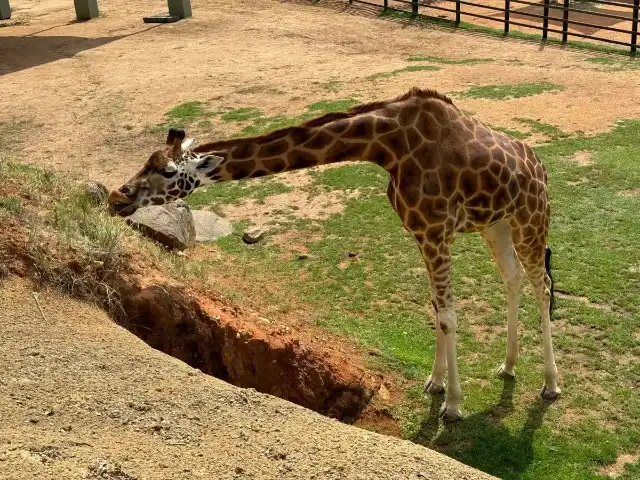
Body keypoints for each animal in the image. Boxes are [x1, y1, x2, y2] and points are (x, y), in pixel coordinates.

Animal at [109, 87, 561, 422]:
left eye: (168, 171)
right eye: (145, 161)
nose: (117, 197)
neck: (389, 147)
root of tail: (540, 166)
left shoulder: (435, 230)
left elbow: (449, 315)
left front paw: (453, 406)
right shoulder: (421, 232)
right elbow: (437, 309)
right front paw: (436, 384)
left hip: (531, 218)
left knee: (541, 284)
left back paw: (551, 384)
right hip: (495, 223)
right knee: (512, 278)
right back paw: (508, 366)